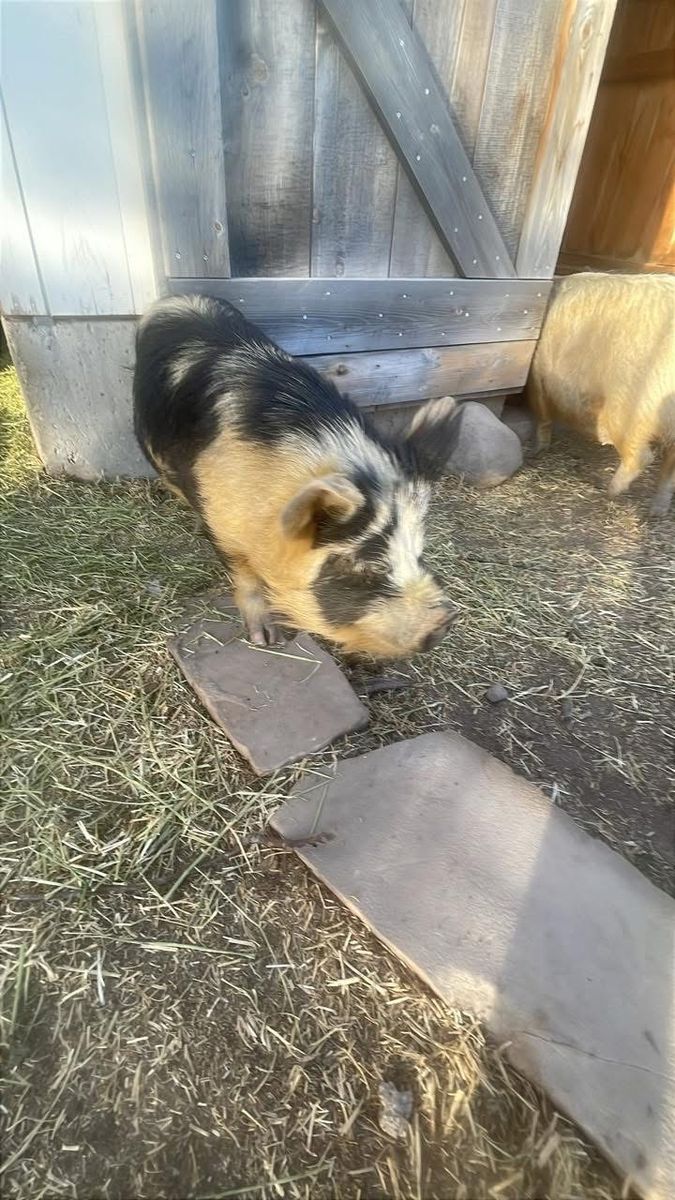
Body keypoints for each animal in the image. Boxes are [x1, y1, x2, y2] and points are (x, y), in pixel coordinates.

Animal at [133, 294, 464, 657]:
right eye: (367, 566)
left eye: (418, 552)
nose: (447, 619)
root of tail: (177, 299)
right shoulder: (223, 523)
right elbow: (245, 577)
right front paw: (266, 639)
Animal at [527, 272, 675, 515]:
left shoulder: (536, 378)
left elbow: (542, 416)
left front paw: (537, 450)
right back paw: (657, 510)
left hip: (629, 406)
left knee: (640, 456)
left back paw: (610, 492)